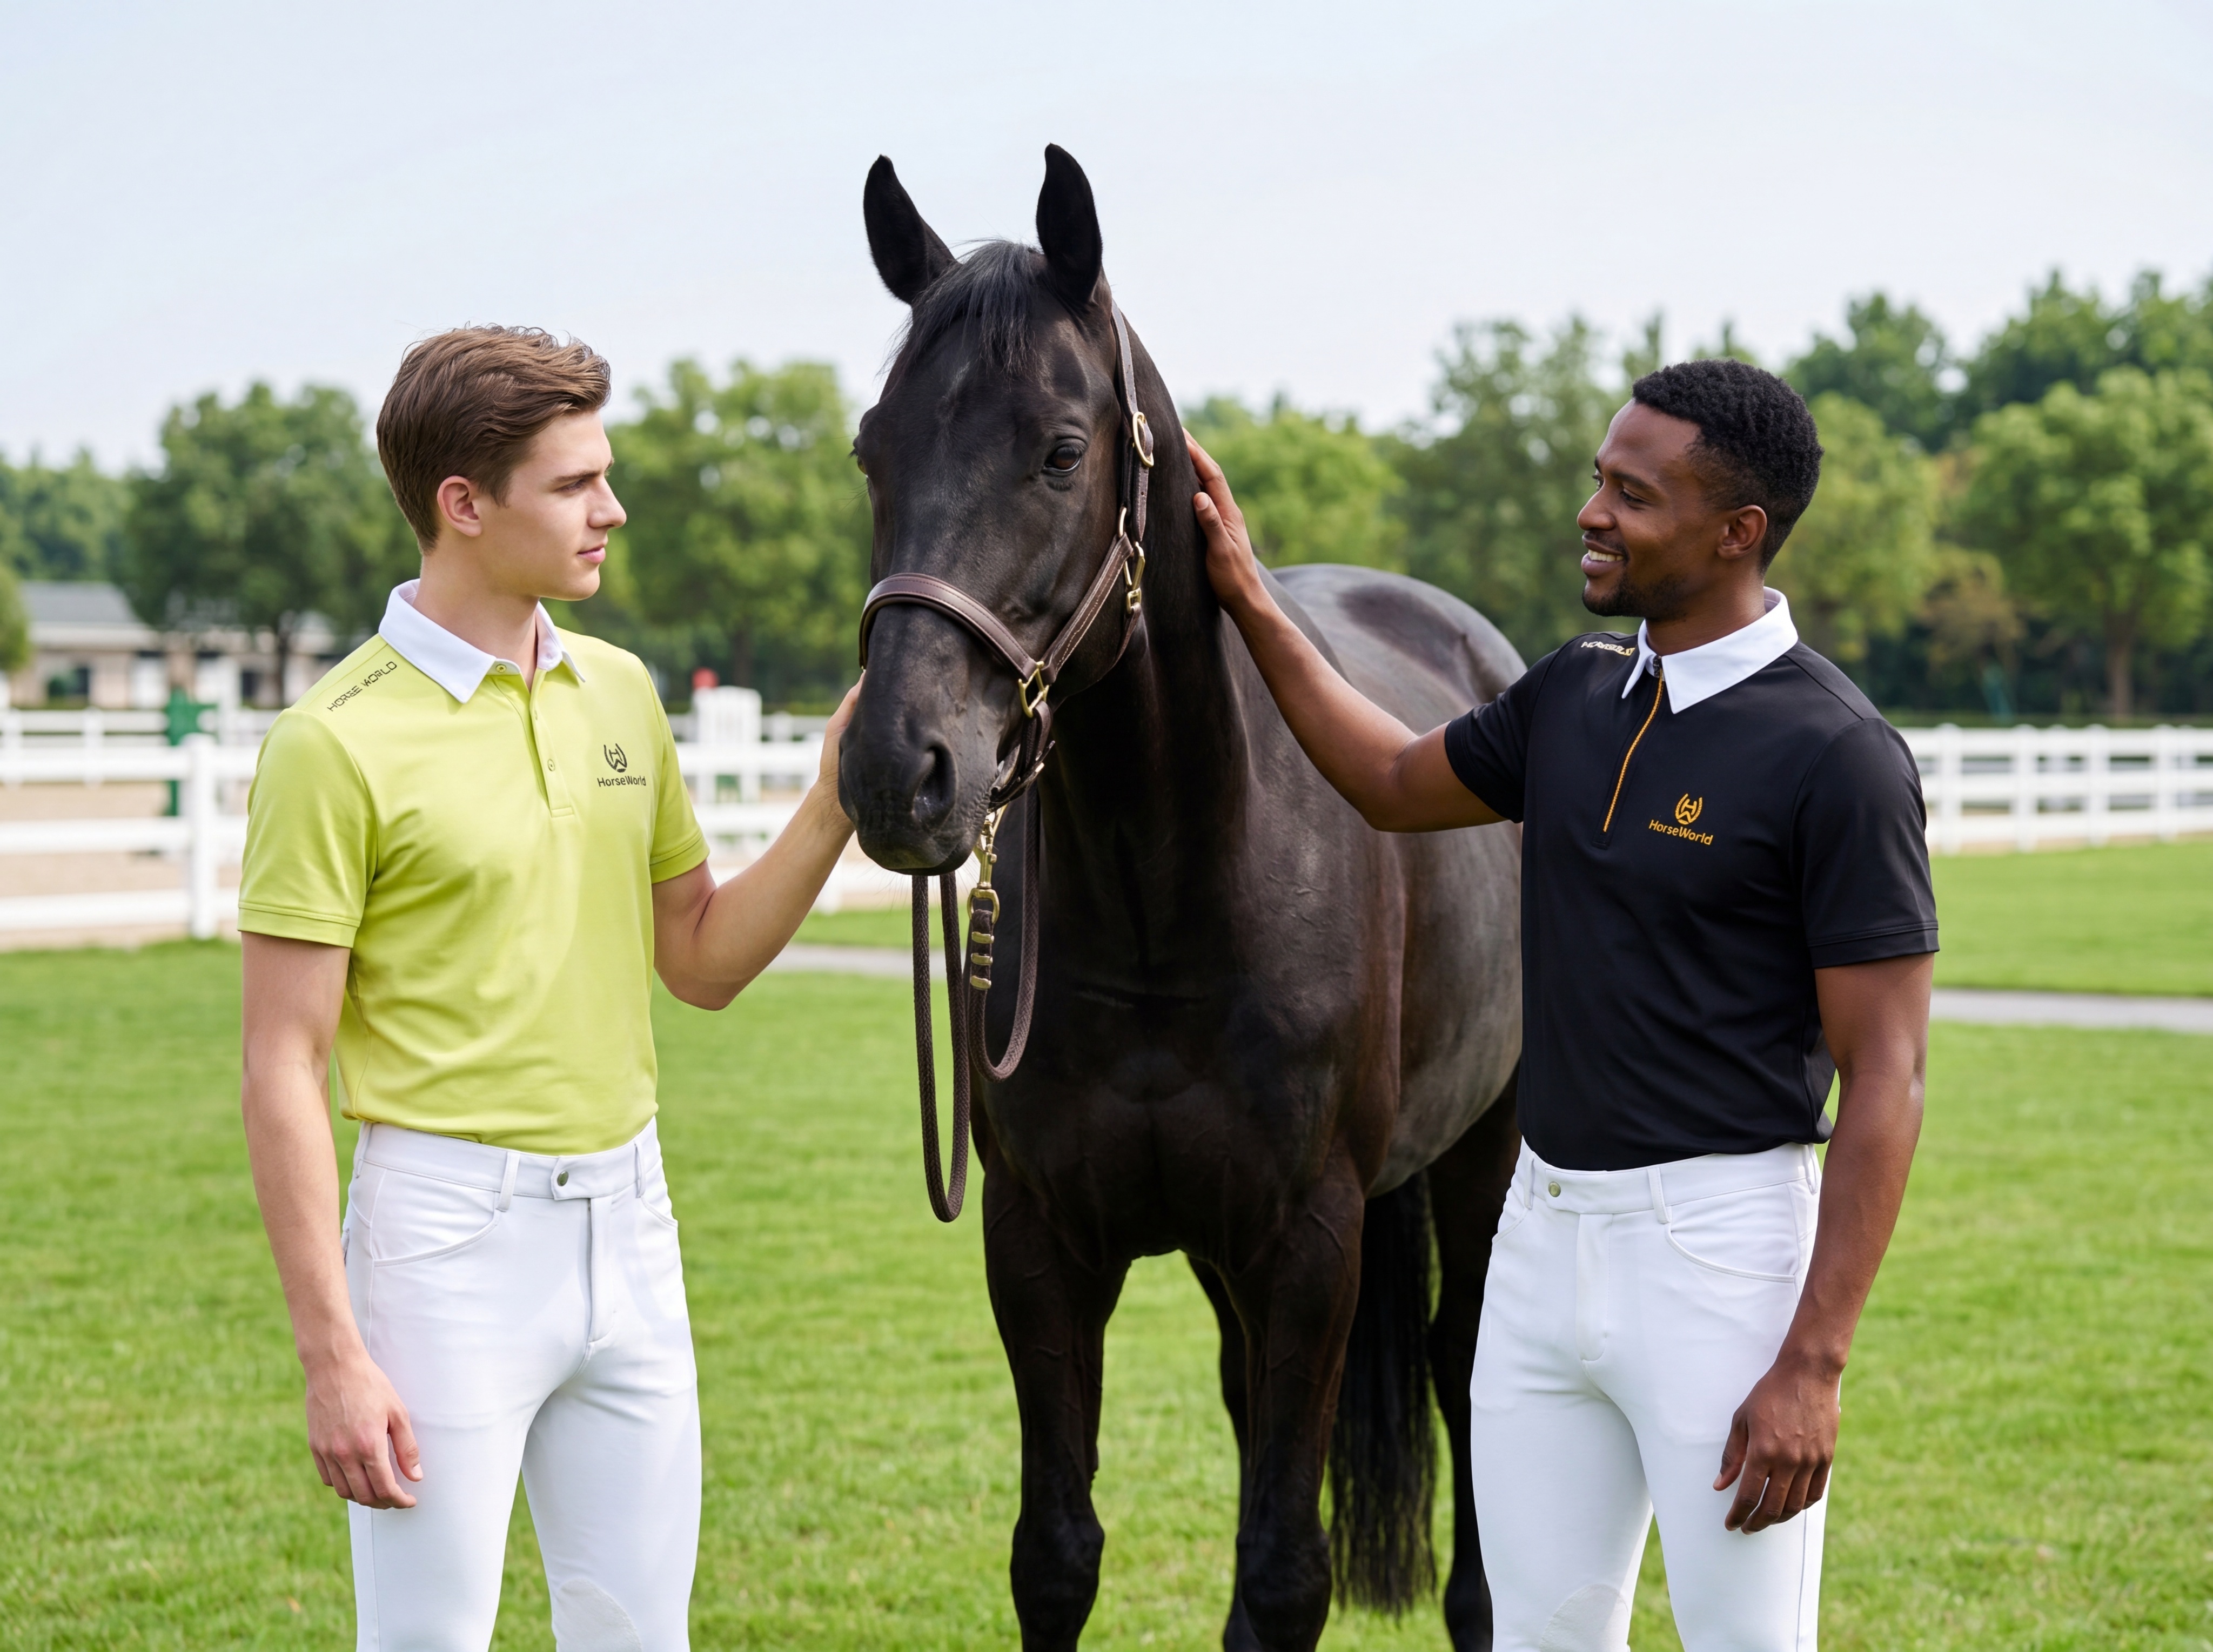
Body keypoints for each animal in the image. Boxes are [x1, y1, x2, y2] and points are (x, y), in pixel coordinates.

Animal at [839, 144, 1526, 1652]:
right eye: (872, 446)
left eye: (1060, 448)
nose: (897, 770)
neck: (1173, 899)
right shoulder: (1041, 1239)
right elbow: (1057, 1552)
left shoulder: (1312, 1239)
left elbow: (1283, 1568)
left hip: (1476, 1160)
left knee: (1461, 1371)